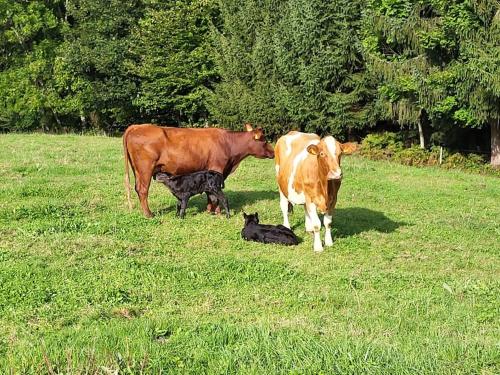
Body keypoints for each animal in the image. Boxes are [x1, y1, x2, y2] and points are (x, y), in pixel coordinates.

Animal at [124, 123, 274, 217]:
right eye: (265, 140)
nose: (273, 152)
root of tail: (136, 126)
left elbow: (210, 194)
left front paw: (209, 211)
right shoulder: (216, 168)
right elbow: (214, 195)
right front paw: (217, 212)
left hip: (137, 170)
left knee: (137, 189)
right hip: (145, 169)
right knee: (143, 190)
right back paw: (149, 214)